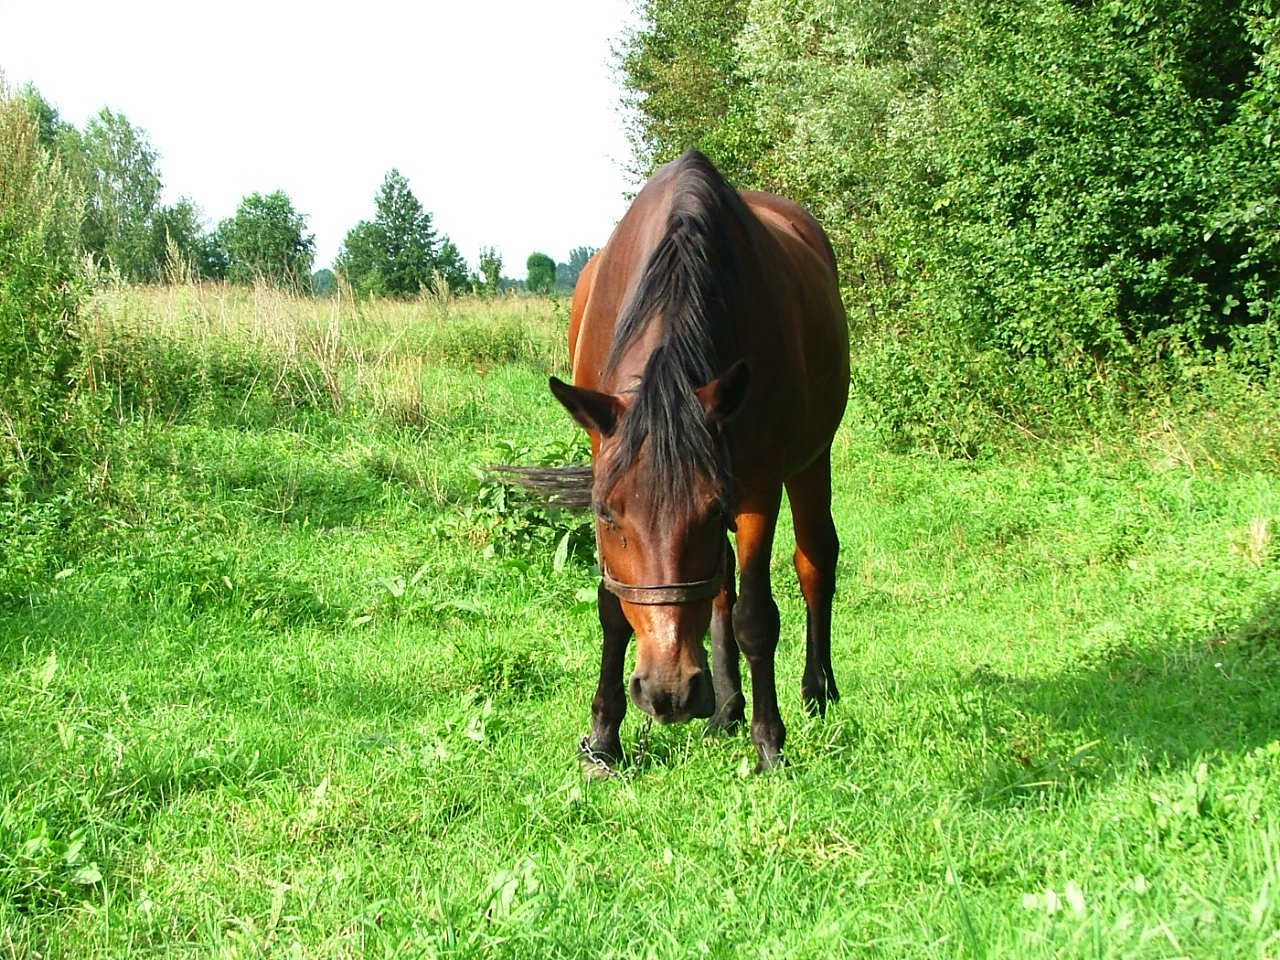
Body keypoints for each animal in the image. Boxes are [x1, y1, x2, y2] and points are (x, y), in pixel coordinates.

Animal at [550, 148, 849, 773]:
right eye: (606, 514)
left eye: (711, 512)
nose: (669, 692)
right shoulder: (602, 453)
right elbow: (614, 607)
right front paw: (604, 737)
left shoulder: (757, 487)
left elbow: (756, 616)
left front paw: (769, 742)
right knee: (721, 586)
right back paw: (727, 707)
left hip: (813, 462)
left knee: (814, 561)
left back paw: (817, 691)